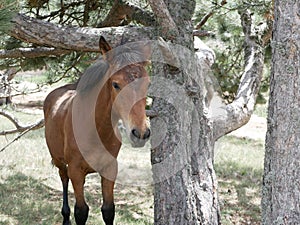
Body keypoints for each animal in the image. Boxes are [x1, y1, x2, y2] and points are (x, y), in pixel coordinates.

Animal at [43, 36, 151, 224]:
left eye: (147, 84)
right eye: (115, 84)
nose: (140, 133)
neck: (95, 130)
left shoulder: (110, 169)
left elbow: (108, 210)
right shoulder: (76, 171)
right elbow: (81, 211)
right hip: (58, 161)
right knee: (63, 179)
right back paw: (65, 216)